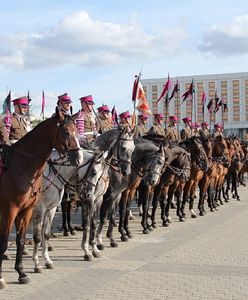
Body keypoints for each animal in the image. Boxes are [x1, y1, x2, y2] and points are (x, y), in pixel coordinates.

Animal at [0, 108, 81, 288]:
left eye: (77, 131)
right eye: (66, 131)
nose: (78, 158)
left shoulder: (27, 210)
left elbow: (22, 240)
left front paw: (22, 273)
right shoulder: (10, 210)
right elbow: (5, 241)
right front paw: (1, 278)